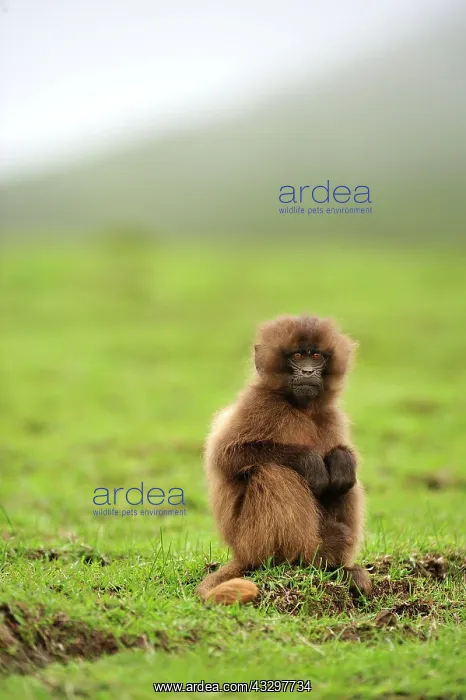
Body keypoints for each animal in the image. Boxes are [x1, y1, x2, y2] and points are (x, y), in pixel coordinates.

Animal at [196, 314, 371, 606]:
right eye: (297, 356)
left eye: (316, 356)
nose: (309, 372)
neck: (299, 407)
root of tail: (240, 554)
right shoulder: (260, 404)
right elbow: (227, 455)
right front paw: (310, 463)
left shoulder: (329, 415)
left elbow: (340, 465)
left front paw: (341, 458)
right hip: (249, 541)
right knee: (274, 472)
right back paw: (308, 555)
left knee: (346, 481)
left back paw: (336, 565)